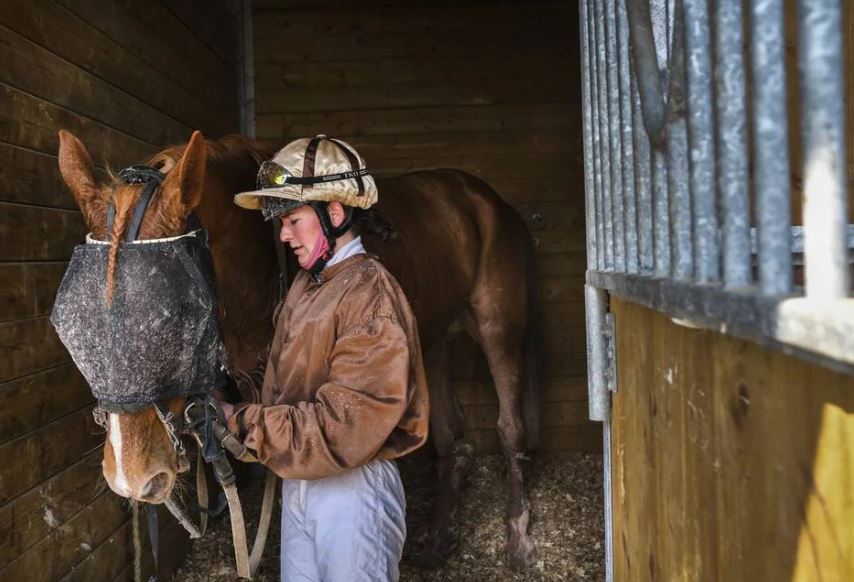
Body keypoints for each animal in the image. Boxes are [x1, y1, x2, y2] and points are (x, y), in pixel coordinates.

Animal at [56, 128, 544, 572]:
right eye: (72, 319)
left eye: (179, 309)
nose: (132, 475)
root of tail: (481, 197)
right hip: (435, 337)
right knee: (449, 436)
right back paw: (439, 538)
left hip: (499, 327)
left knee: (509, 427)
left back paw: (519, 540)